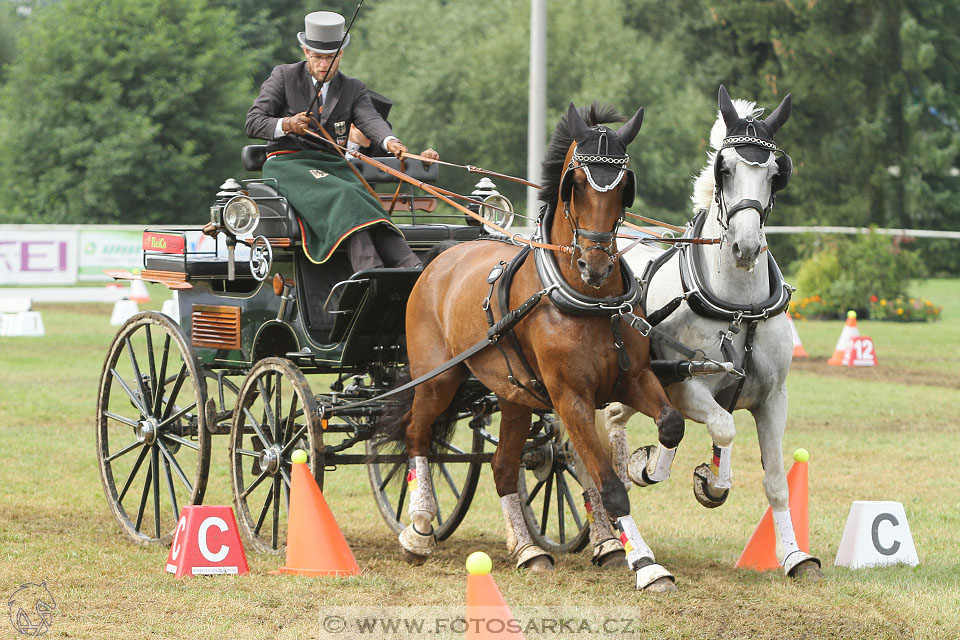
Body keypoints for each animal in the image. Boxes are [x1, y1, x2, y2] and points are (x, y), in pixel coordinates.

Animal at [394, 104, 688, 592]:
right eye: (577, 182)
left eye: (623, 187)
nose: (595, 265)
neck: (590, 303)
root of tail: (442, 256)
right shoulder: (570, 398)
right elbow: (609, 485)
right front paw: (646, 565)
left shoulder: (632, 378)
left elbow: (670, 425)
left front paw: (647, 467)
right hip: (437, 378)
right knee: (417, 435)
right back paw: (418, 529)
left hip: (514, 395)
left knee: (502, 466)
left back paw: (528, 550)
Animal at [604, 86, 820, 580]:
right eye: (725, 168)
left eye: (776, 174)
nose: (745, 247)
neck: (739, 308)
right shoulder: (685, 387)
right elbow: (722, 426)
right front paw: (705, 481)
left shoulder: (773, 398)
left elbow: (776, 480)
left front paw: (794, 555)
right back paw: (620, 543)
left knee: (614, 426)